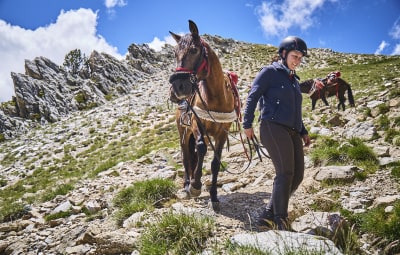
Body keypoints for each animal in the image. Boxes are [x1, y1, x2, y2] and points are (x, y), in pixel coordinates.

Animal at [167, 19, 239, 211]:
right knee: (186, 156)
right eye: (174, 53)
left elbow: (215, 163)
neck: (216, 97)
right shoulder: (196, 125)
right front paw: (195, 186)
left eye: (194, 50)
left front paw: (214, 196)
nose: (177, 88)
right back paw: (187, 184)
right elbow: (200, 149)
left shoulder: (222, 133)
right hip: (184, 134)